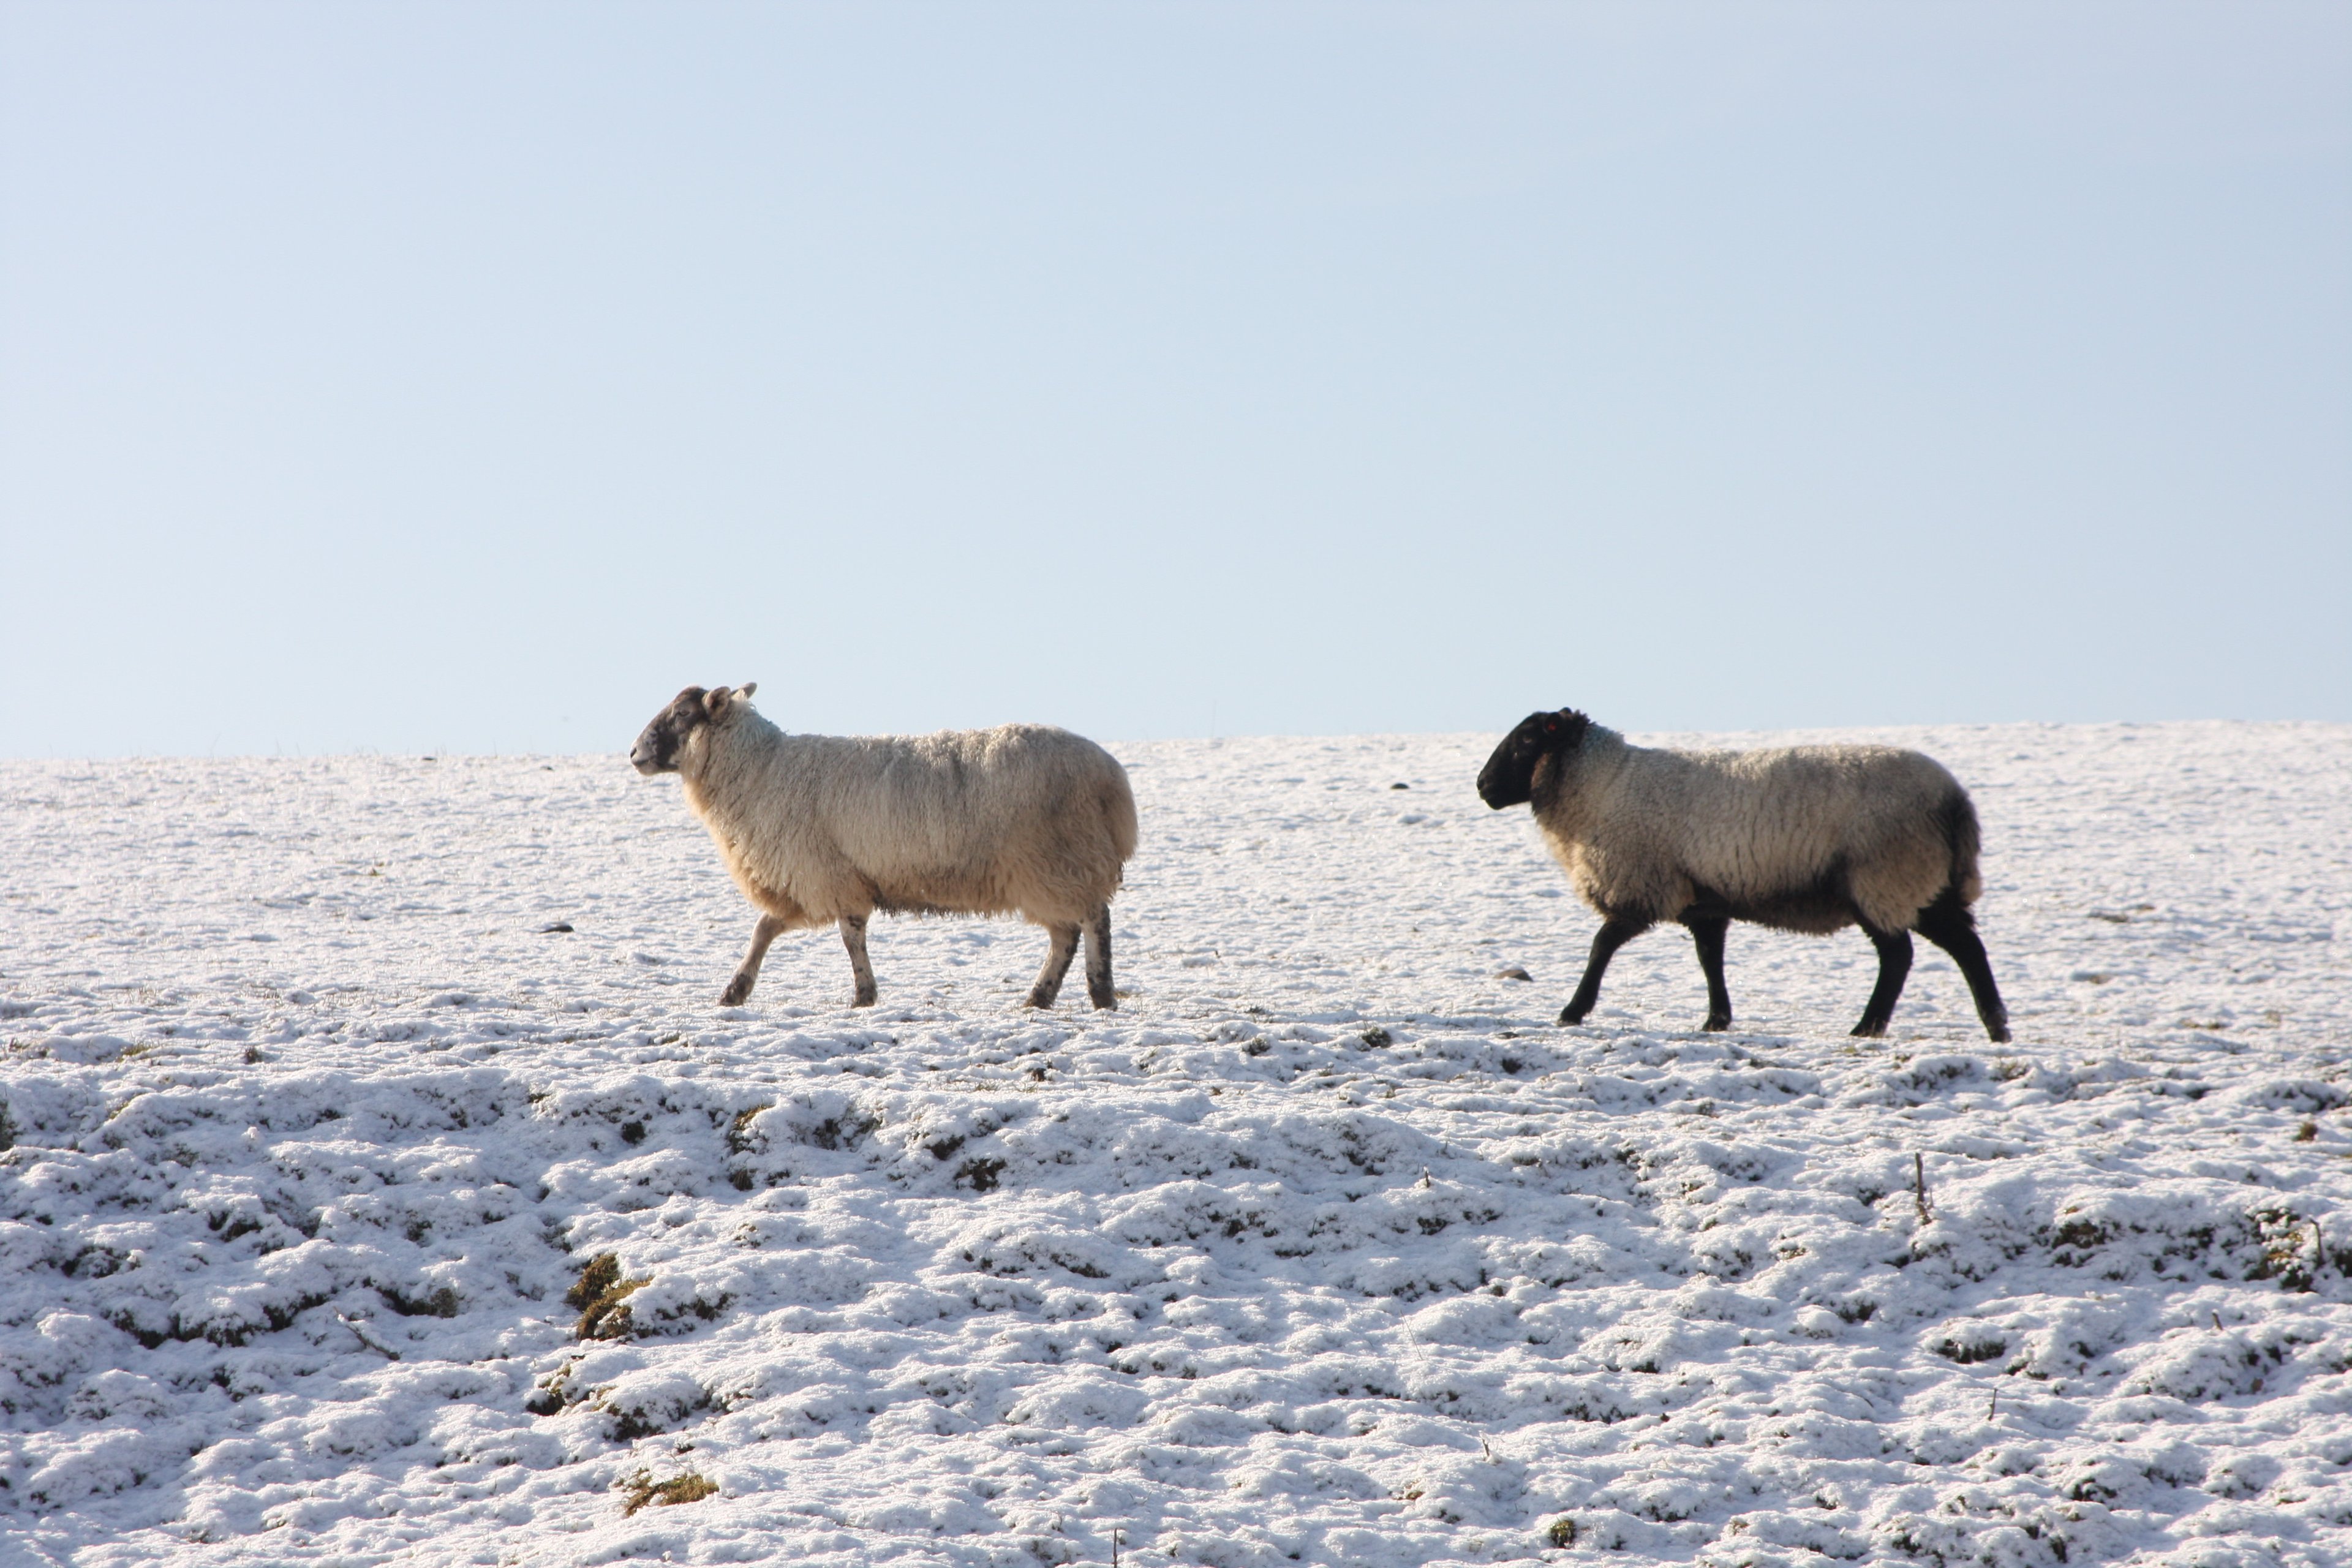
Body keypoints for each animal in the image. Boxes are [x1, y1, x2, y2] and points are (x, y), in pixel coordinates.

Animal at [630, 684, 1138, 1010]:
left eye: (681, 714)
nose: (634, 754)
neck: (760, 769)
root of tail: (1110, 776)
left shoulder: (826, 873)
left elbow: (849, 936)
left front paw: (863, 996)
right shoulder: (807, 878)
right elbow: (764, 930)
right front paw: (735, 992)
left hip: (1057, 860)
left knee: (1092, 922)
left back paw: (1100, 993)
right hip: (1052, 868)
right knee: (1065, 934)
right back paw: (1040, 997)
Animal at [1476, 708, 2011, 1042]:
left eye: (1527, 739)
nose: (1482, 786)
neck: (1602, 786)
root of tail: (1954, 800)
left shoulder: (1643, 884)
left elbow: (1601, 946)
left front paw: (1573, 1011)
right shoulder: (1704, 900)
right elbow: (1709, 959)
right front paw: (1717, 1019)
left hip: (1883, 877)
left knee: (1899, 956)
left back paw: (1869, 1026)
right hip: (1924, 883)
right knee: (1967, 946)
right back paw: (1997, 1026)